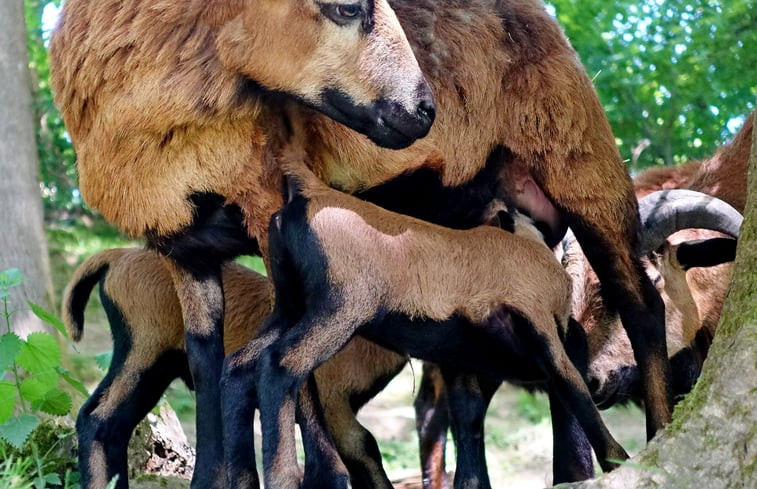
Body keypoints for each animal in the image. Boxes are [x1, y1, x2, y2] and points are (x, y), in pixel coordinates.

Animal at [221, 157, 628, 489]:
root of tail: (309, 192)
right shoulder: (543, 326)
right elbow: (575, 390)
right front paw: (620, 461)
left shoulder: (460, 360)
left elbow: (469, 425)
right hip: (341, 309)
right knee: (281, 365)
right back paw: (282, 478)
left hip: (289, 306)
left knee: (239, 366)